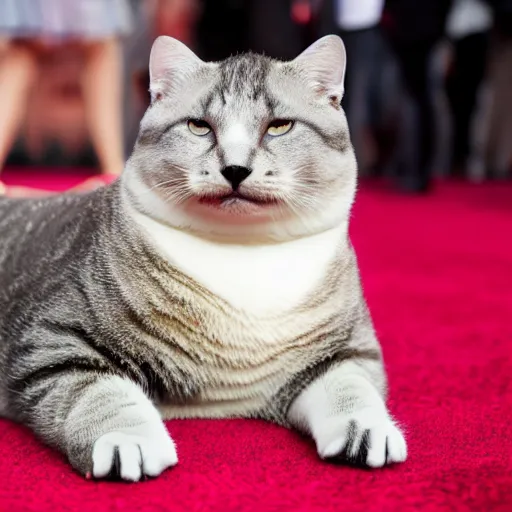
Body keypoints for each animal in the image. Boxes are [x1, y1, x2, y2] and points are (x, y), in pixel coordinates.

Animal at [0, 36, 408, 480]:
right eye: (199, 126)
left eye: (279, 126)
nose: (235, 169)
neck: (243, 252)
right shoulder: (50, 342)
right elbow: (97, 392)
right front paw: (127, 438)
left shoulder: (349, 350)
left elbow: (351, 387)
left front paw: (364, 428)